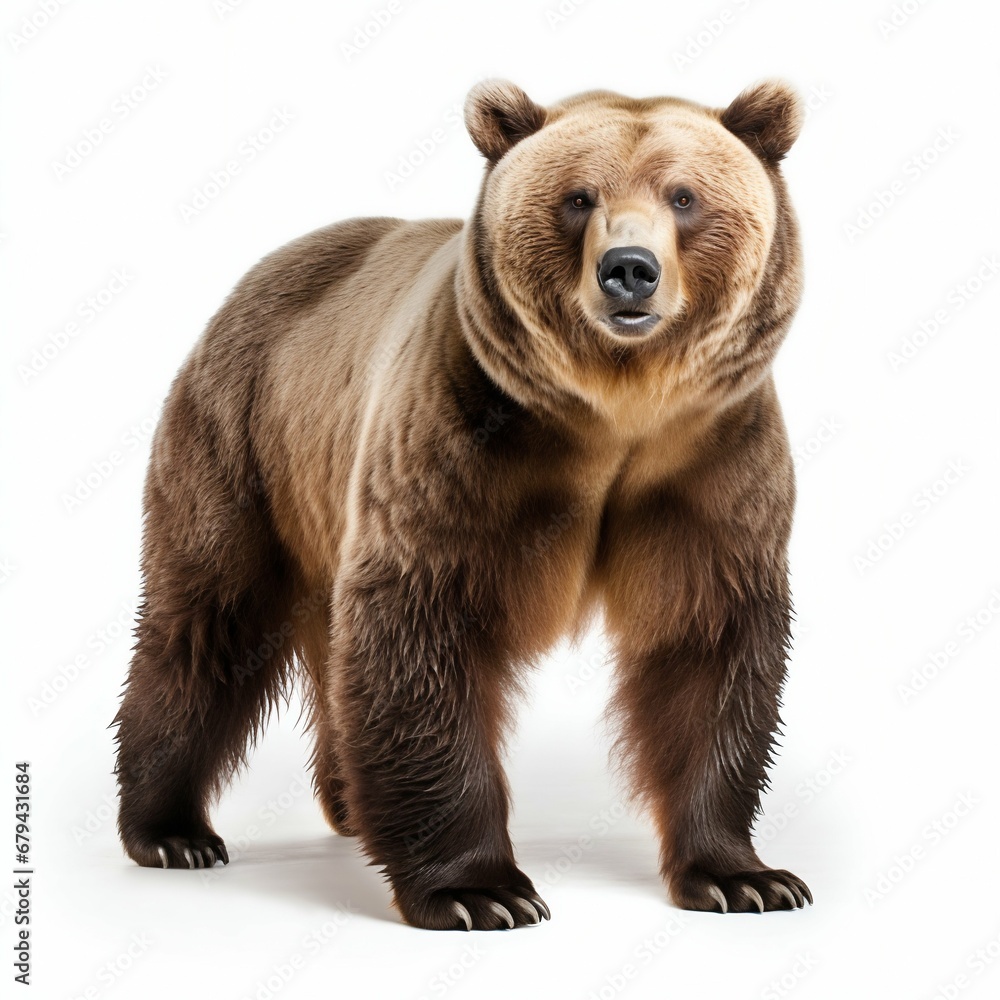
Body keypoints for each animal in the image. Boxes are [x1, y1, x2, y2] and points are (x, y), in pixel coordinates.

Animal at [112, 78, 812, 929]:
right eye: (578, 197)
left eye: (684, 196)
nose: (629, 270)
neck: (613, 415)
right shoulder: (465, 446)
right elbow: (423, 629)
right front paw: (481, 889)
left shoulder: (707, 464)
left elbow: (708, 644)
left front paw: (745, 877)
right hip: (244, 438)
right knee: (208, 619)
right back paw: (170, 829)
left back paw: (346, 804)